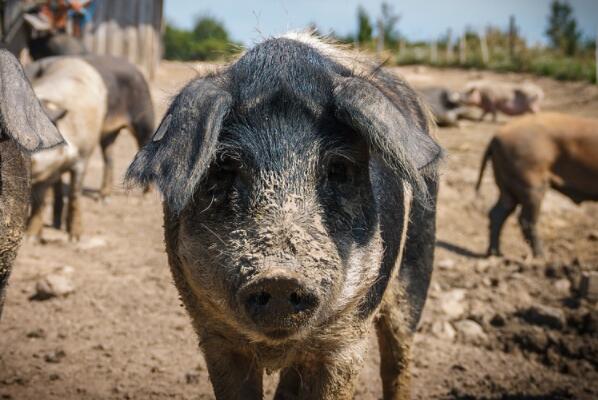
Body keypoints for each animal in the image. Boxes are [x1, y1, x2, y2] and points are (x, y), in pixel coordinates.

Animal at [127, 33, 446, 400]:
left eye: (338, 168)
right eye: (224, 166)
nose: (279, 277)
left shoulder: (346, 340)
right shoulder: (213, 333)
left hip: (417, 265)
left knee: (398, 355)